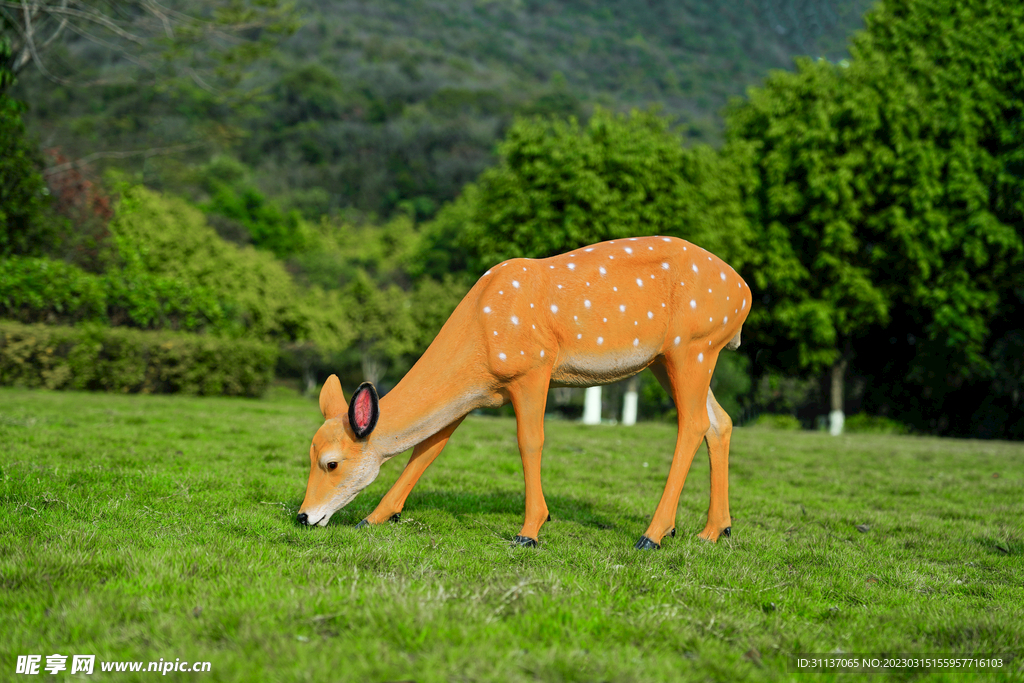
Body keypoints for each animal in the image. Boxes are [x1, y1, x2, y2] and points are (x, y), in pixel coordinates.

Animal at [296, 235, 753, 548]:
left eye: (331, 463)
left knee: (693, 424)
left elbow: (530, 440)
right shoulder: (477, 393)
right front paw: (376, 517)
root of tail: (745, 294)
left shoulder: (533, 367)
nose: (303, 516)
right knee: (721, 421)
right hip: (669, 358)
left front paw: (530, 530)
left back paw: (654, 534)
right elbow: (428, 449)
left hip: (693, 345)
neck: (480, 334)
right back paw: (714, 530)